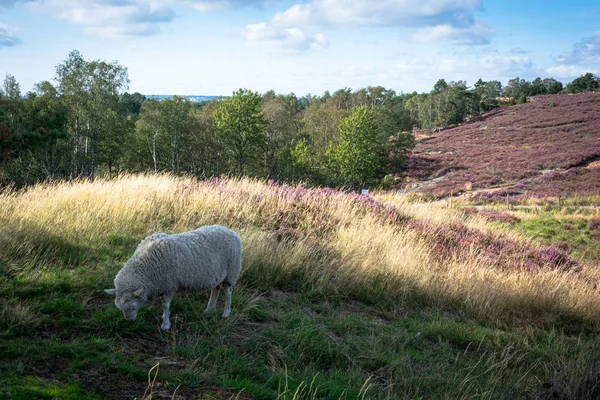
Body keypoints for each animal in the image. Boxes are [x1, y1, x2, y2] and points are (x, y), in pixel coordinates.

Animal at [105, 225, 241, 332]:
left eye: (133, 307)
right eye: (120, 308)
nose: (129, 321)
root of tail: (230, 231)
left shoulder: (169, 285)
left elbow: (165, 305)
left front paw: (165, 324)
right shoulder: (162, 285)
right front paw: (164, 317)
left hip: (231, 272)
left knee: (228, 293)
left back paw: (226, 313)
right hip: (217, 275)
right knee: (216, 289)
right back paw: (209, 309)